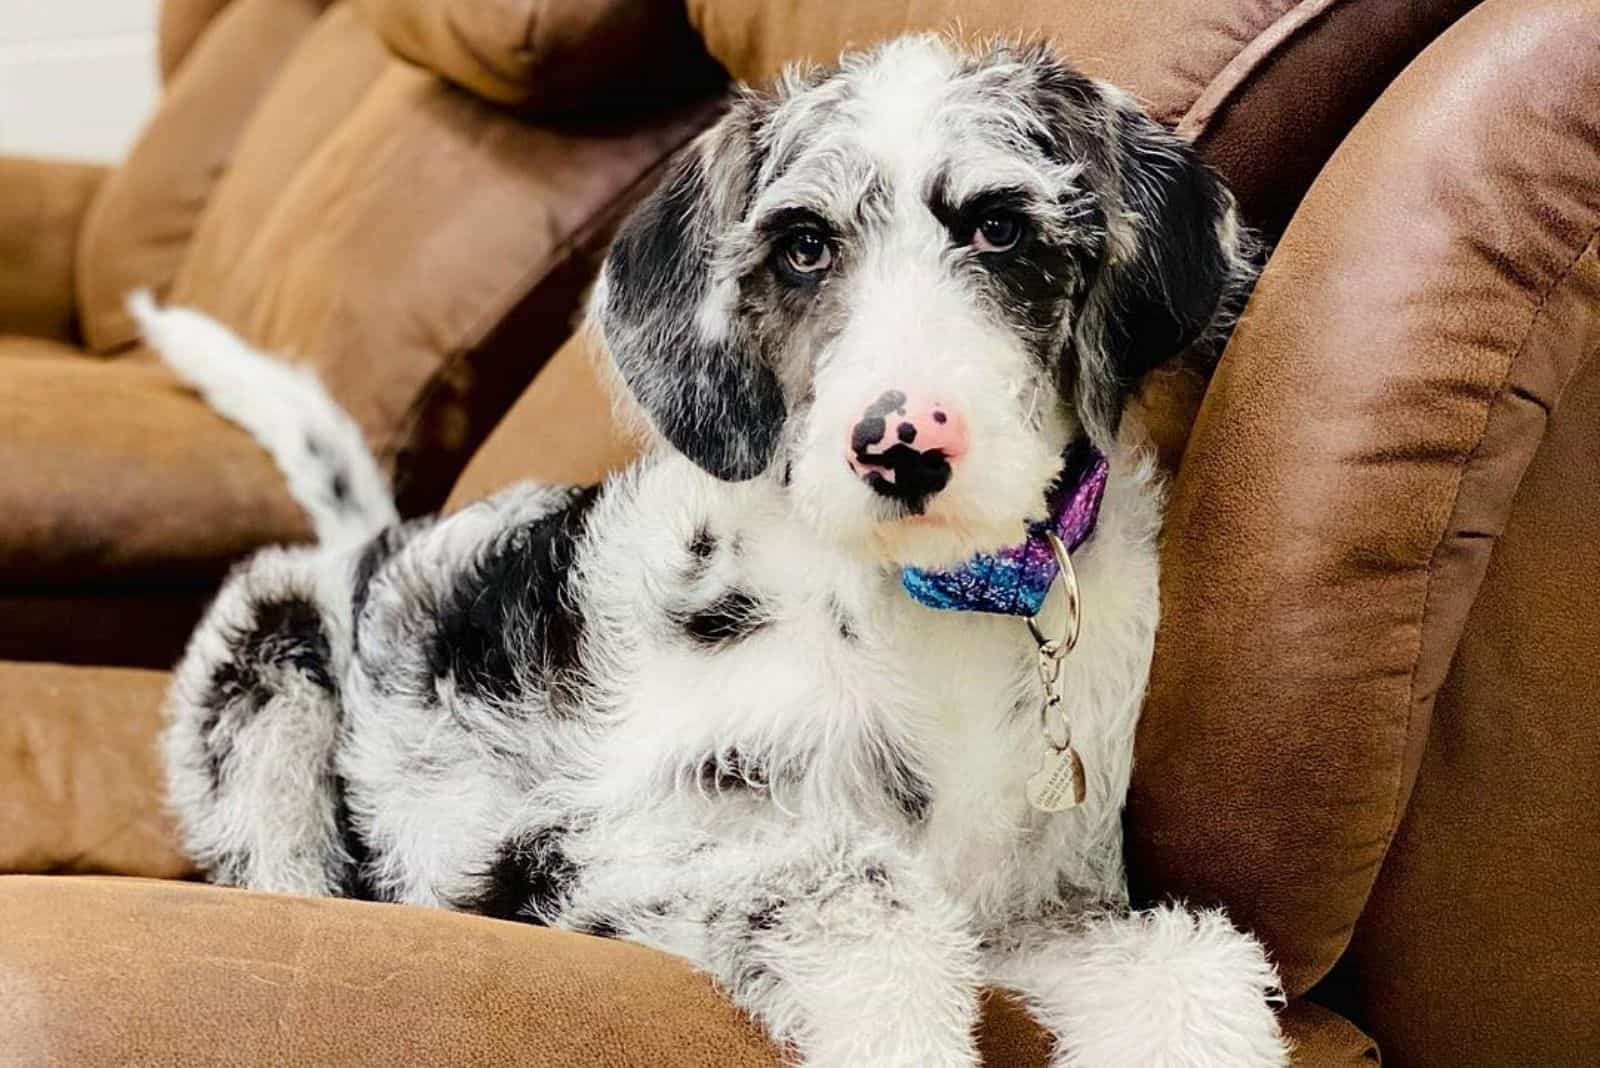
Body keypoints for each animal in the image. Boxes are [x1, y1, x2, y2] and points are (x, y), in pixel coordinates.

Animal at [134, 35, 1286, 1068]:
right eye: (805, 246)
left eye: (1000, 230)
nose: (899, 444)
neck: (934, 608)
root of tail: (369, 541)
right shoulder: (581, 854)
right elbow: (861, 899)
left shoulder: (1040, 904)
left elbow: (1187, 962)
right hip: (268, 669)